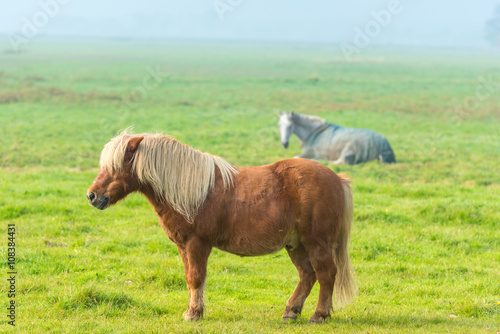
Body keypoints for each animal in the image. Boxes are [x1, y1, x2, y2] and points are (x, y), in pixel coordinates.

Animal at [88, 131, 358, 324]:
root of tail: (337, 178)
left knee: (326, 274)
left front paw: (194, 313)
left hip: (317, 243)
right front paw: (192, 310)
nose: (92, 196)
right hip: (296, 244)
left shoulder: (197, 244)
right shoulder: (183, 246)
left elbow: (196, 277)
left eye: (116, 166)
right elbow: (189, 277)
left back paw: (319, 315)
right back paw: (291, 311)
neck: (191, 191)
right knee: (307, 275)